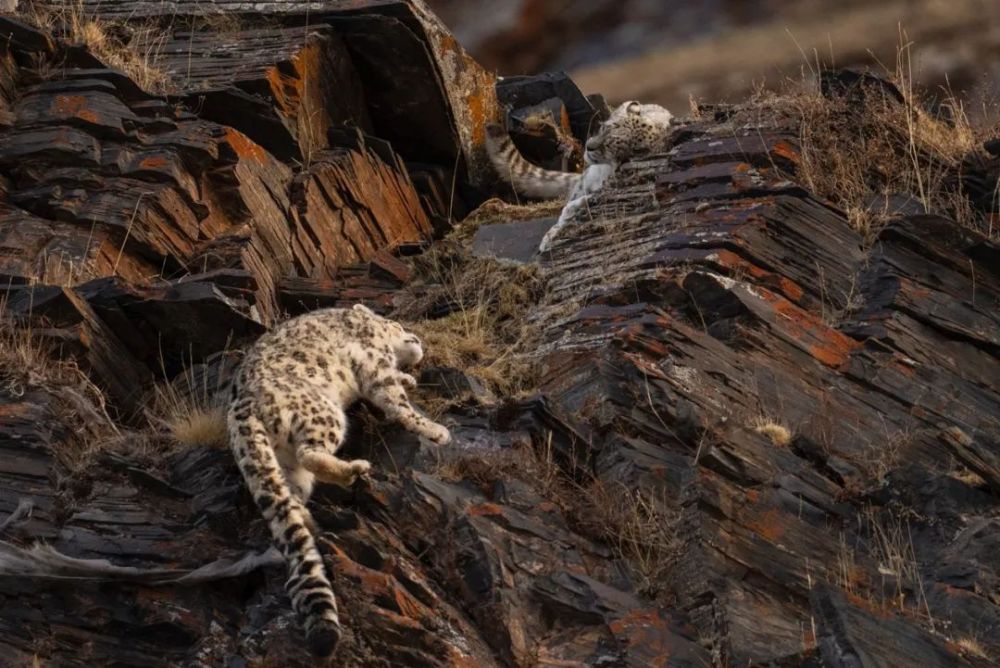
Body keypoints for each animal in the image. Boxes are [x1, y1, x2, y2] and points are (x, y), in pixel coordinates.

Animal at [227, 304, 450, 656]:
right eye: (397, 323)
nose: (416, 338)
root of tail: (240, 408)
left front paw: (409, 378)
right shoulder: (374, 360)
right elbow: (396, 401)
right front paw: (433, 429)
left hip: (283, 465)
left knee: (289, 500)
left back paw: (309, 521)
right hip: (323, 413)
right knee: (310, 453)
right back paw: (354, 469)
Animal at [484, 100, 672, 252]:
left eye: (611, 146)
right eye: (605, 127)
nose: (589, 147)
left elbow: (584, 201)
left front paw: (567, 215)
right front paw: (552, 233)